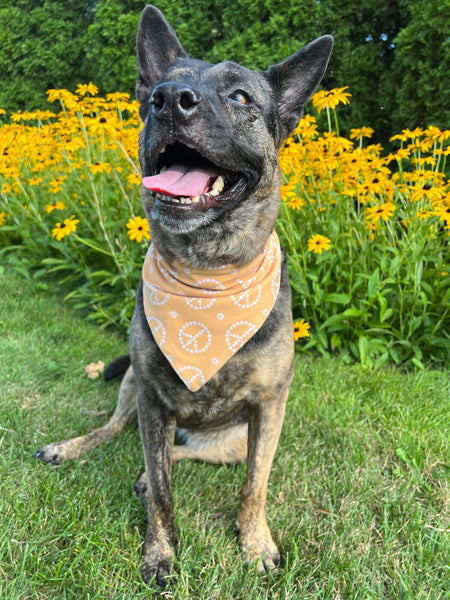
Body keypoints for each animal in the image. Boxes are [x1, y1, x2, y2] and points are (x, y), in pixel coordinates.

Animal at [33, 4, 332, 584]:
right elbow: (163, 495)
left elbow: (254, 487)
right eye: (158, 91)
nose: (167, 98)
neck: (208, 278)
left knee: (182, 454)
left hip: (231, 441)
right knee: (119, 433)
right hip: (132, 386)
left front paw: (255, 543)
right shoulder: (152, 398)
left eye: (240, 96)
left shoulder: (269, 408)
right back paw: (72, 448)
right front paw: (160, 551)